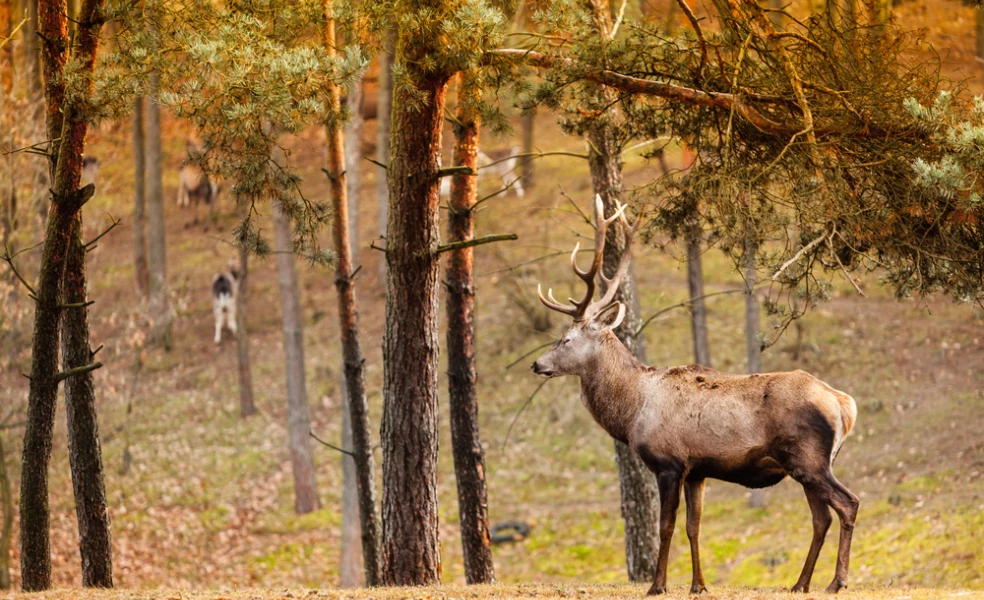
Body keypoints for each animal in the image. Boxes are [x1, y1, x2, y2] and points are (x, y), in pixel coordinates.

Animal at [532, 197, 860, 596]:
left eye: (565, 339)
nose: (537, 363)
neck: (632, 410)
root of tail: (844, 404)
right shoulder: (696, 471)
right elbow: (694, 527)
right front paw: (698, 585)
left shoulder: (669, 463)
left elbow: (666, 527)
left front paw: (657, 585)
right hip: (810, 464)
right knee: (821, 517)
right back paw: (801, 583)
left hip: (809, 459)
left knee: (847, 504)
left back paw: (836, 581)